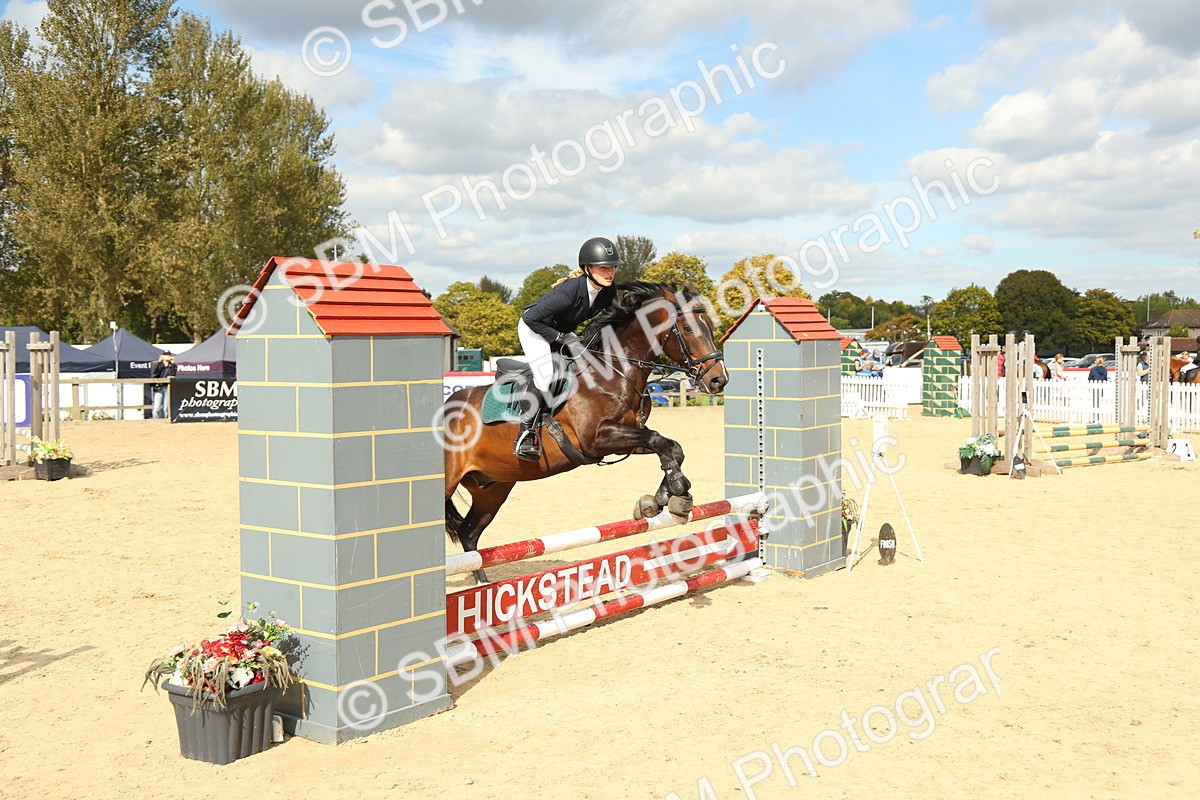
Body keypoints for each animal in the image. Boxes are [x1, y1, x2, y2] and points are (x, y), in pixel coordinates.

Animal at [442, 282, 729, 582]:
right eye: (687, 329)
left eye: (710, 326)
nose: (718, 379)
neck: (615, 370)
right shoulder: (595, 439)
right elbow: (658, 441)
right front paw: (675, 489)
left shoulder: (624, 439)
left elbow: (671, 446)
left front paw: (660, 499)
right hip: (451, 481)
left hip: (492, 488)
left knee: (469, 535)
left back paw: (481, 587)